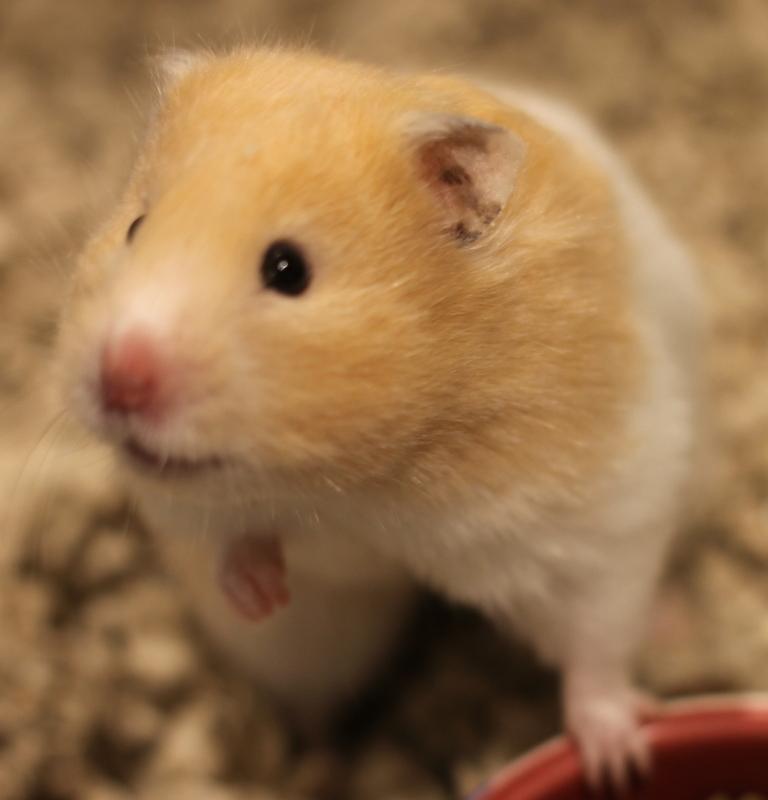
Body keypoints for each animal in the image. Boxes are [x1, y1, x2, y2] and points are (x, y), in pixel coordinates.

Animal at [55, 47, 706, 789]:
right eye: (136, 229)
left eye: (288, 269)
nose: (120, 378)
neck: (365, 480)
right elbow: (229, 539)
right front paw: (259, 592)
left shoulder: (597, 514)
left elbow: (595, 645)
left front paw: (620, 760)